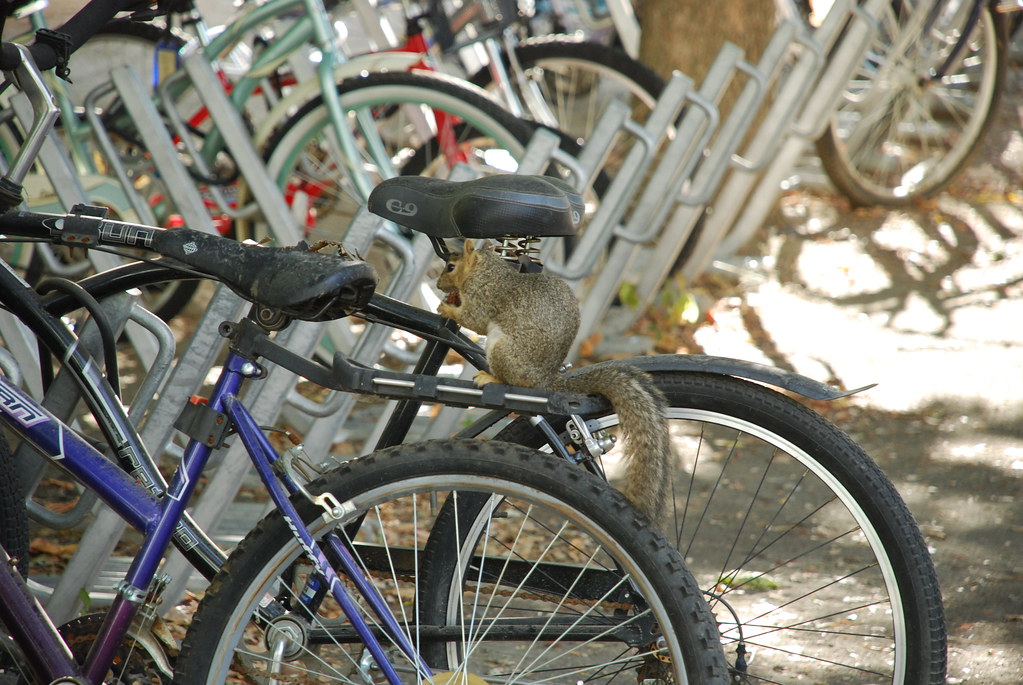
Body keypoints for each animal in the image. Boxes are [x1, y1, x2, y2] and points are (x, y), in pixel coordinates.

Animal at [436, 239, 671, 522]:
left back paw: (489, 376)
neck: (488, 270)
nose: (438, 285)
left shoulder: (484, 297)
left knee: (511, 379)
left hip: (502, 350)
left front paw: (447, 307)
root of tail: (544, 381)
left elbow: (474, 319)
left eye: (451, 266)